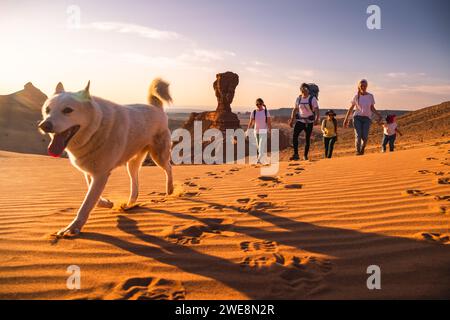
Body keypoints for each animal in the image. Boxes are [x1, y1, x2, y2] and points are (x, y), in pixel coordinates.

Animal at [38, 79, 174, 236]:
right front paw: (107, 203)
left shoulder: (101, 174)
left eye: (67, 110)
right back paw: (130, 204)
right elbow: (93, 198)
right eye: (47, 110)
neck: (95, 130)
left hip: (159, 155)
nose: (44, 126)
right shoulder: (90, 172)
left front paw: (72, 228)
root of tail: (156, 107)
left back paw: (170, 189)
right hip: (132, 164)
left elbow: (87, 204)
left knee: (168, 168)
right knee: (135, 182)